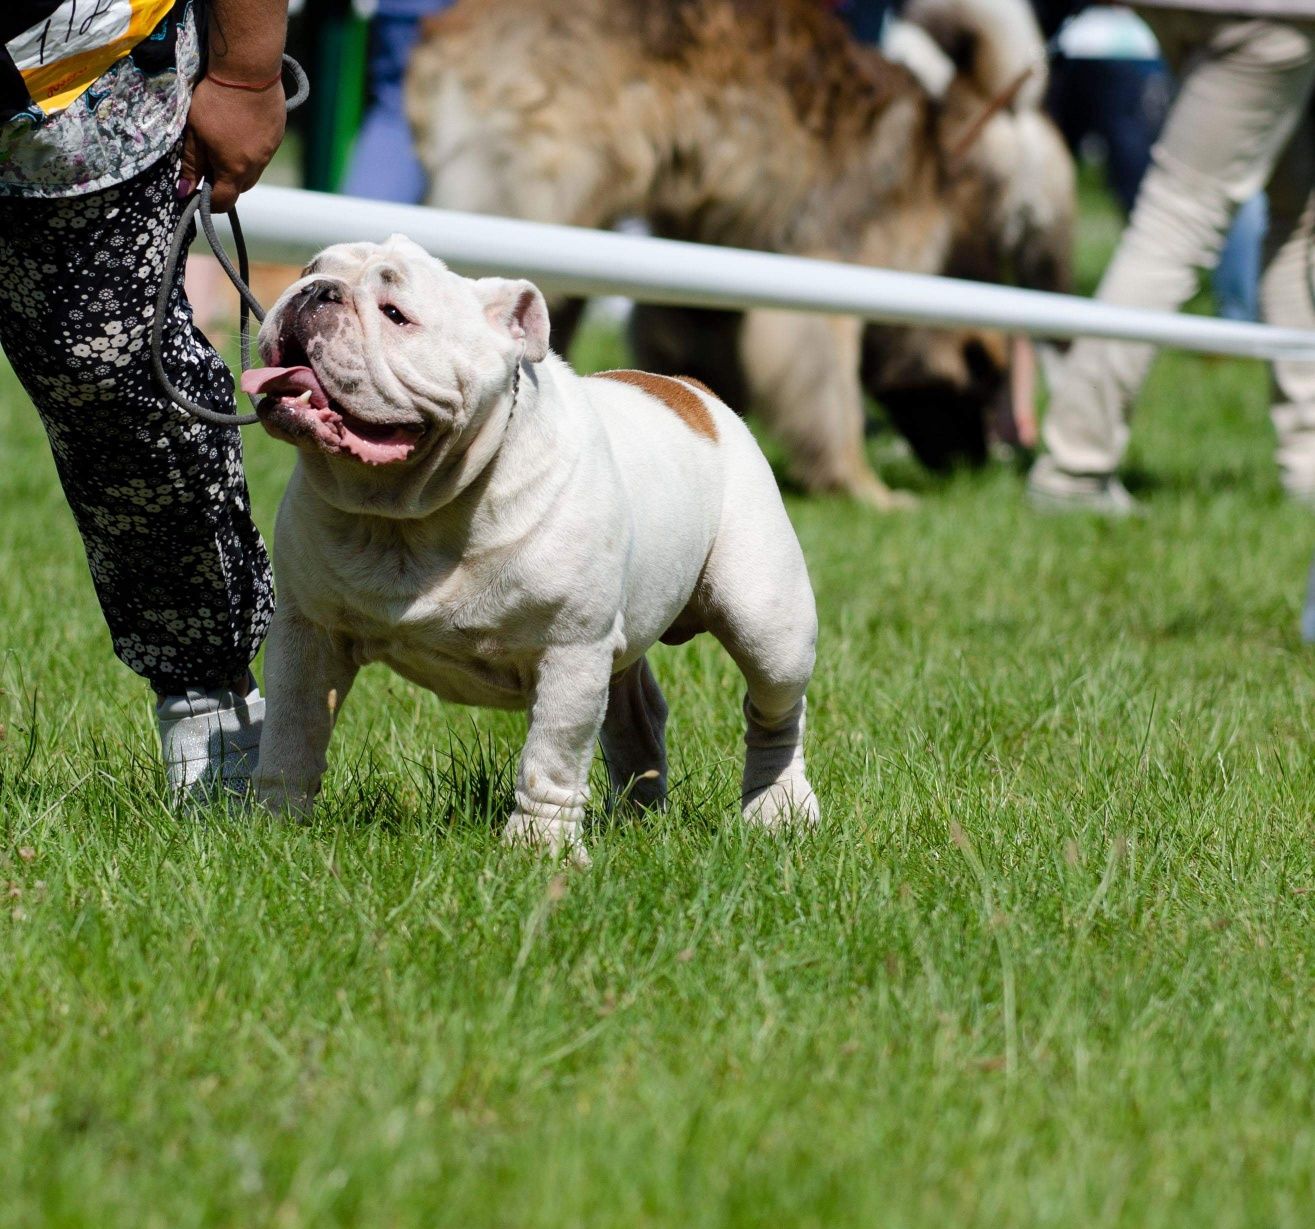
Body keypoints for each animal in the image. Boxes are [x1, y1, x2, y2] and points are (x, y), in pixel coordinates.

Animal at [405, 0, 1073, 507]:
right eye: (982, 381)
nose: (979, 468)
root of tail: (446, 31)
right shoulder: (824, 295)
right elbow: (833, 402)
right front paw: (863, 488)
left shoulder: (709, 274)